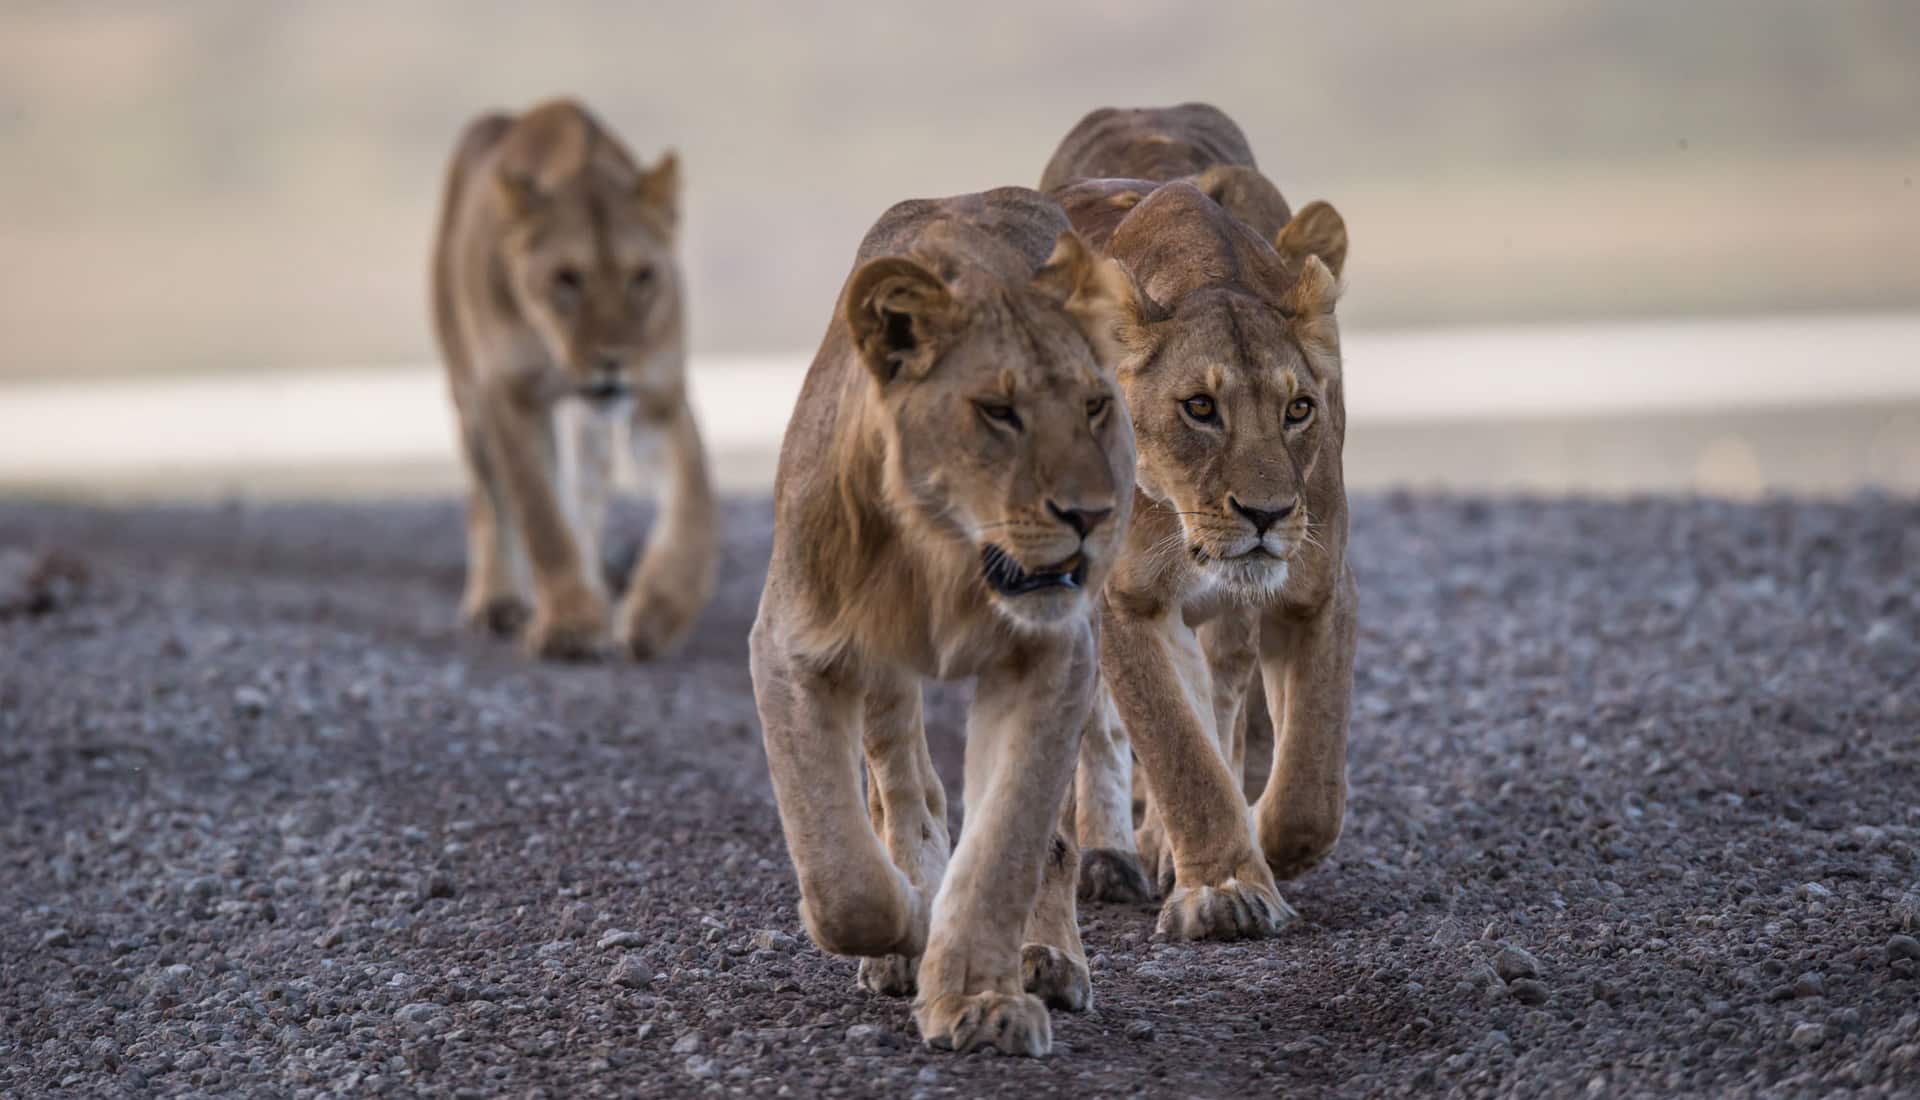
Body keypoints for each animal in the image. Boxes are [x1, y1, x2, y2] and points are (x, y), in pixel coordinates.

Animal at [435, 98, 721, 656]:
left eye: (642, 276)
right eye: (566, 278)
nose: (614, 359)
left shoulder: (658, 396)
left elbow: (692, 504)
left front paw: (660, 611)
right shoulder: (511, 396)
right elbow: (542, 519)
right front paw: (570, 622)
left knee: (584, 498)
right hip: (467, 395)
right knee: (489, 501)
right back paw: (498, 600)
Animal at [748, 189, 1136, 1052]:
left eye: (1096, 405)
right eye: (998, 412)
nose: (1091, 516)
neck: (945, 560)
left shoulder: (1054, 656)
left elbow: (1008, 843)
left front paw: (979, 1000)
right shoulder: (794, 650)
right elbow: (839, 869)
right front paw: (910, 927)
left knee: (1052, 838)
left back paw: (1049, 957)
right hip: (883, 679)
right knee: (906, 789)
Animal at [1044, 102, 1359, 940]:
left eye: (1298, 409)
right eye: (1199, 408)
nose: (1267, 513)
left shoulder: (1317, 589)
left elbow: (1310, 778)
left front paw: (1265, 848)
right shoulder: (1126, 602)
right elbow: (1175, 748)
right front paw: (1224, 889)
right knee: (1101, 727)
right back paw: (1109, 857)